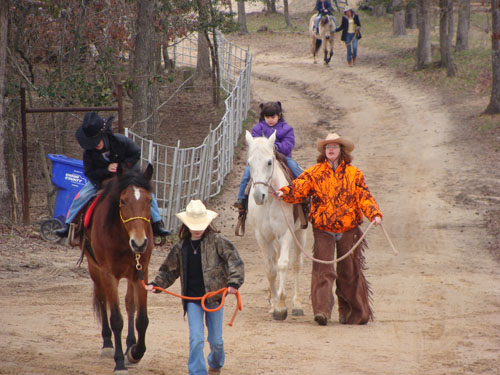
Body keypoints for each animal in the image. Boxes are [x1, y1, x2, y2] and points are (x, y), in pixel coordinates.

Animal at [244, 131, 306, 320]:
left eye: (269, 162)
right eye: (249, 163)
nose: (259, 196)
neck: (272, 200)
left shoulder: (286, 234)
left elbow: (283, 264)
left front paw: (281, 307)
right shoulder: (262, 237)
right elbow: (270, 269)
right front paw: (273, 304)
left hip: (300, 233)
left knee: (296, 264)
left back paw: (297, 304)